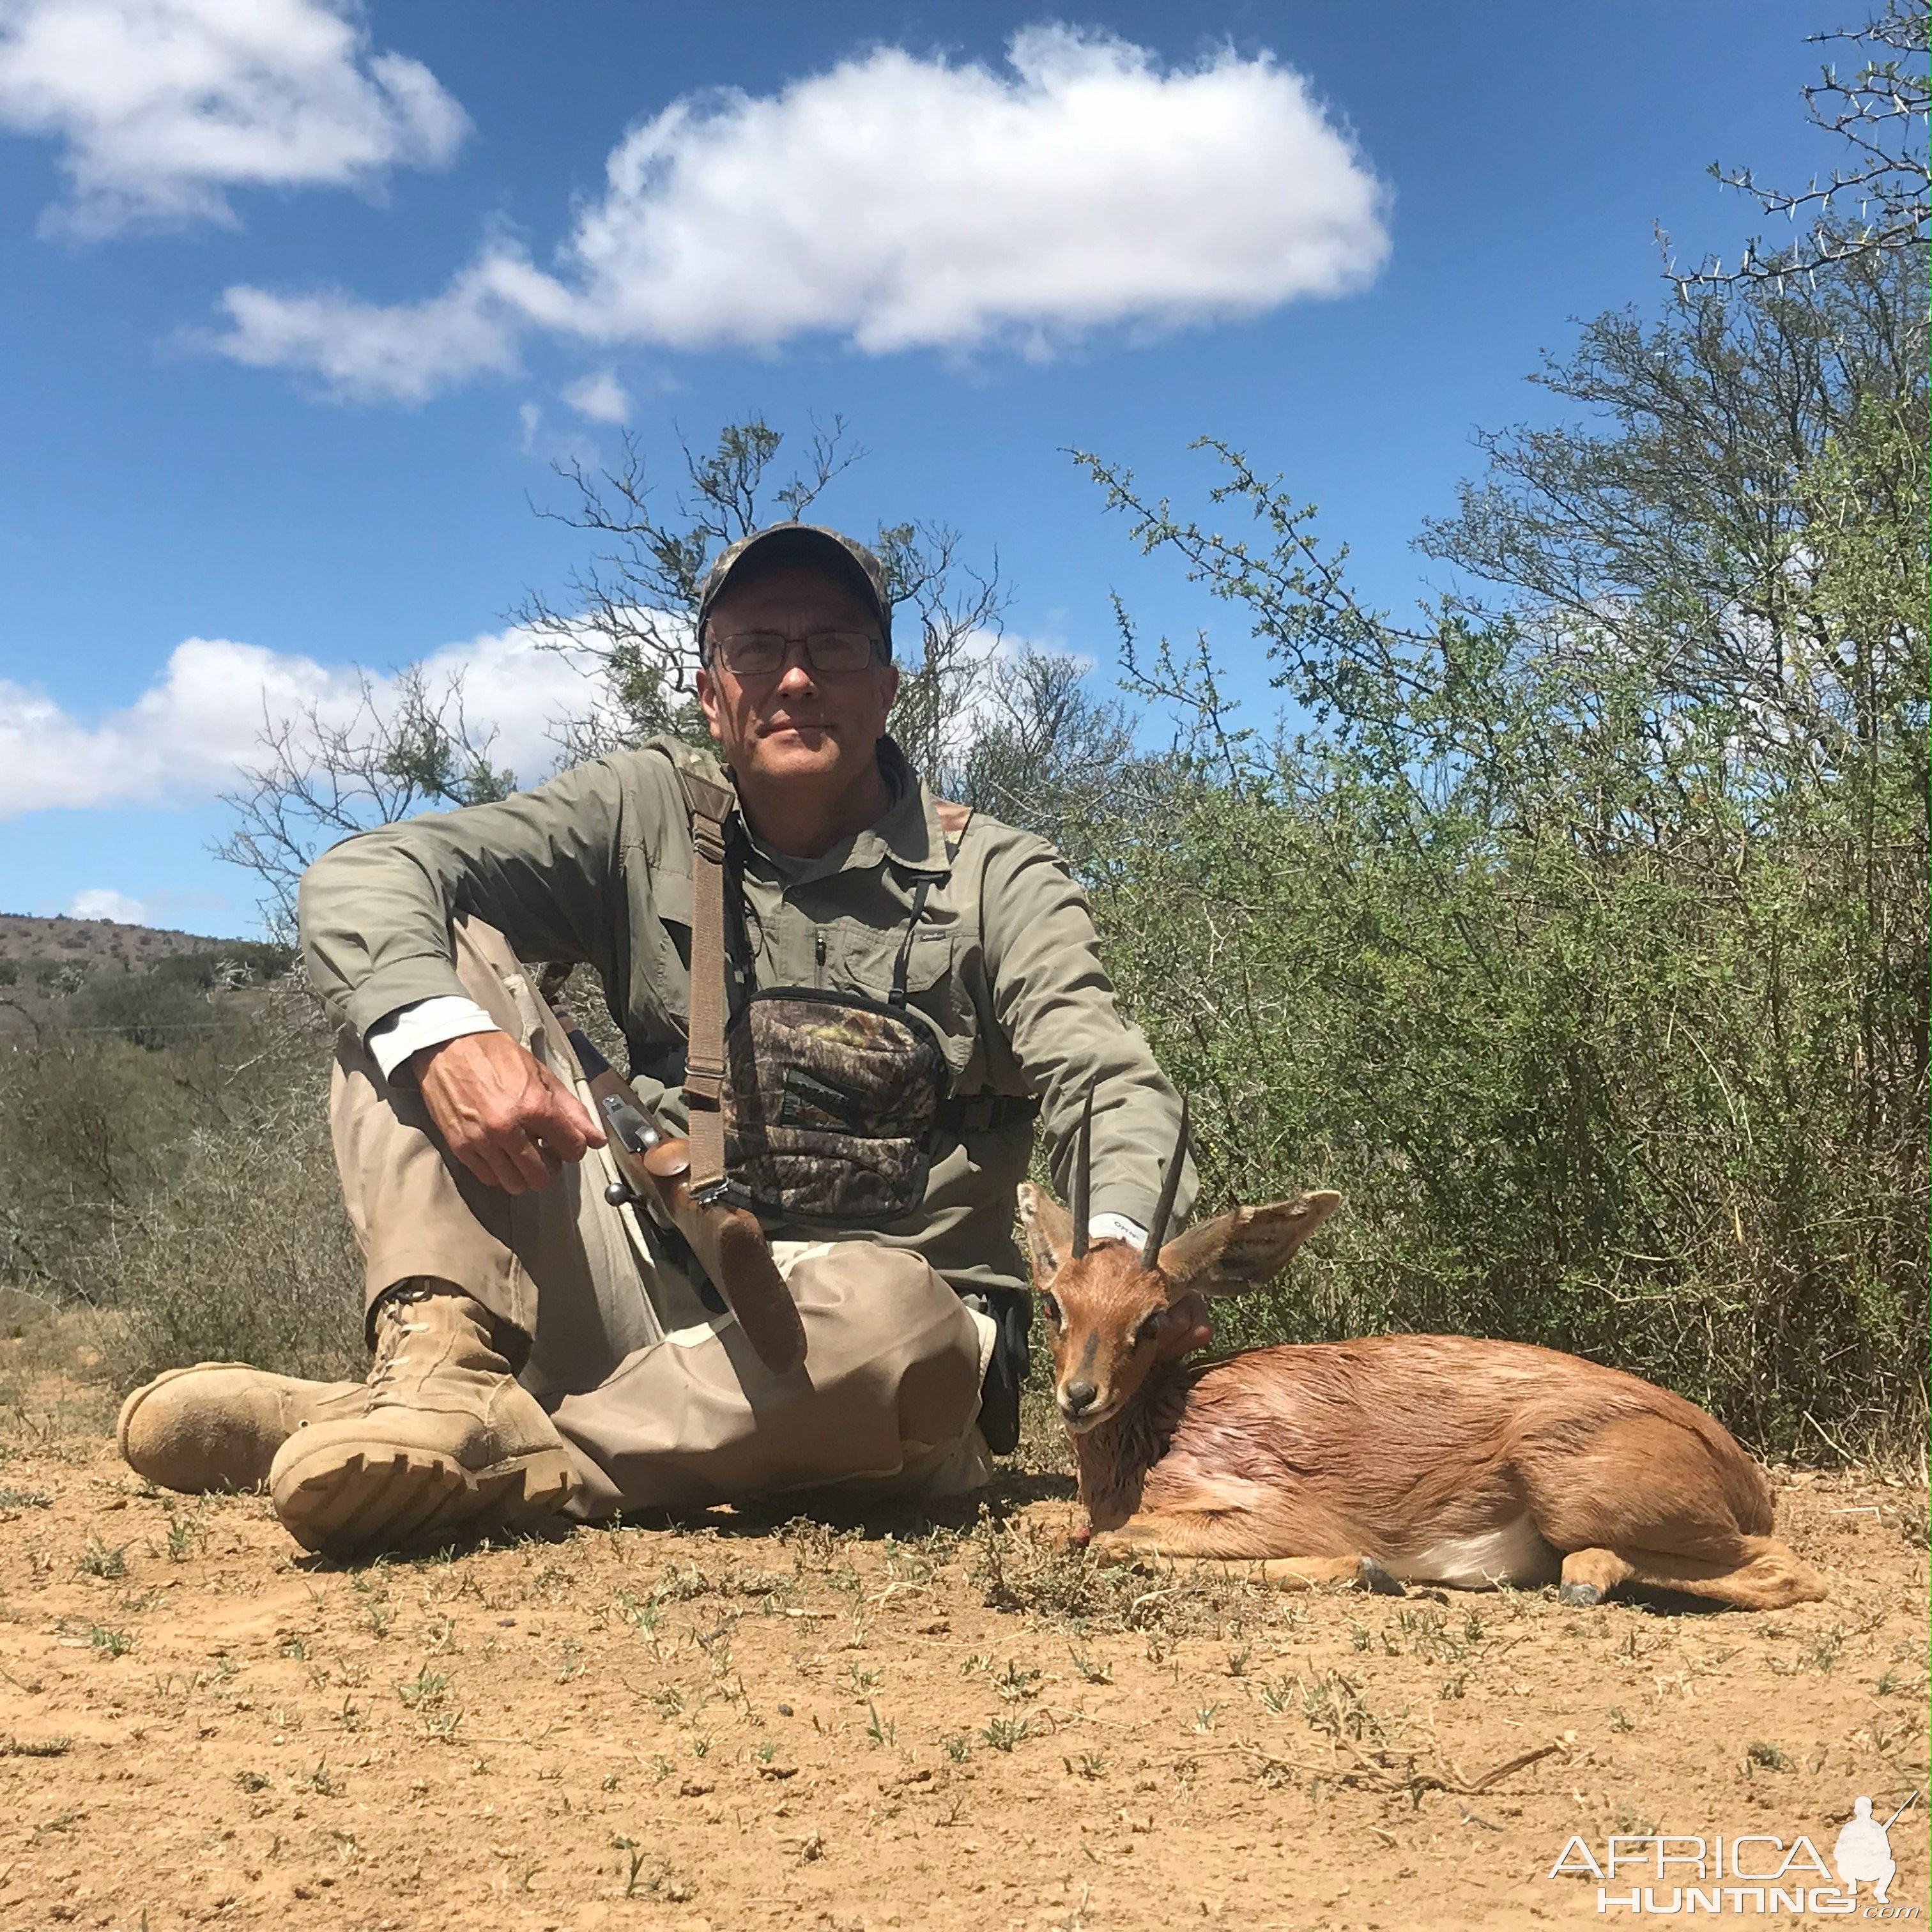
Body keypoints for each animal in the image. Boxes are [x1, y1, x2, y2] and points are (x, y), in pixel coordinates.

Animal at [1020, 1105, 1831, 1615]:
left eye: (1154, 1316)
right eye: (1054, 1302)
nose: (1080, 1395)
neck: (1161, 1431)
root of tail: (1738, 1467)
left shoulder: (1279, 1514)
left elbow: (1113, 1542)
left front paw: (1370, 1570)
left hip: (1572, 1490)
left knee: (1791, 1573)